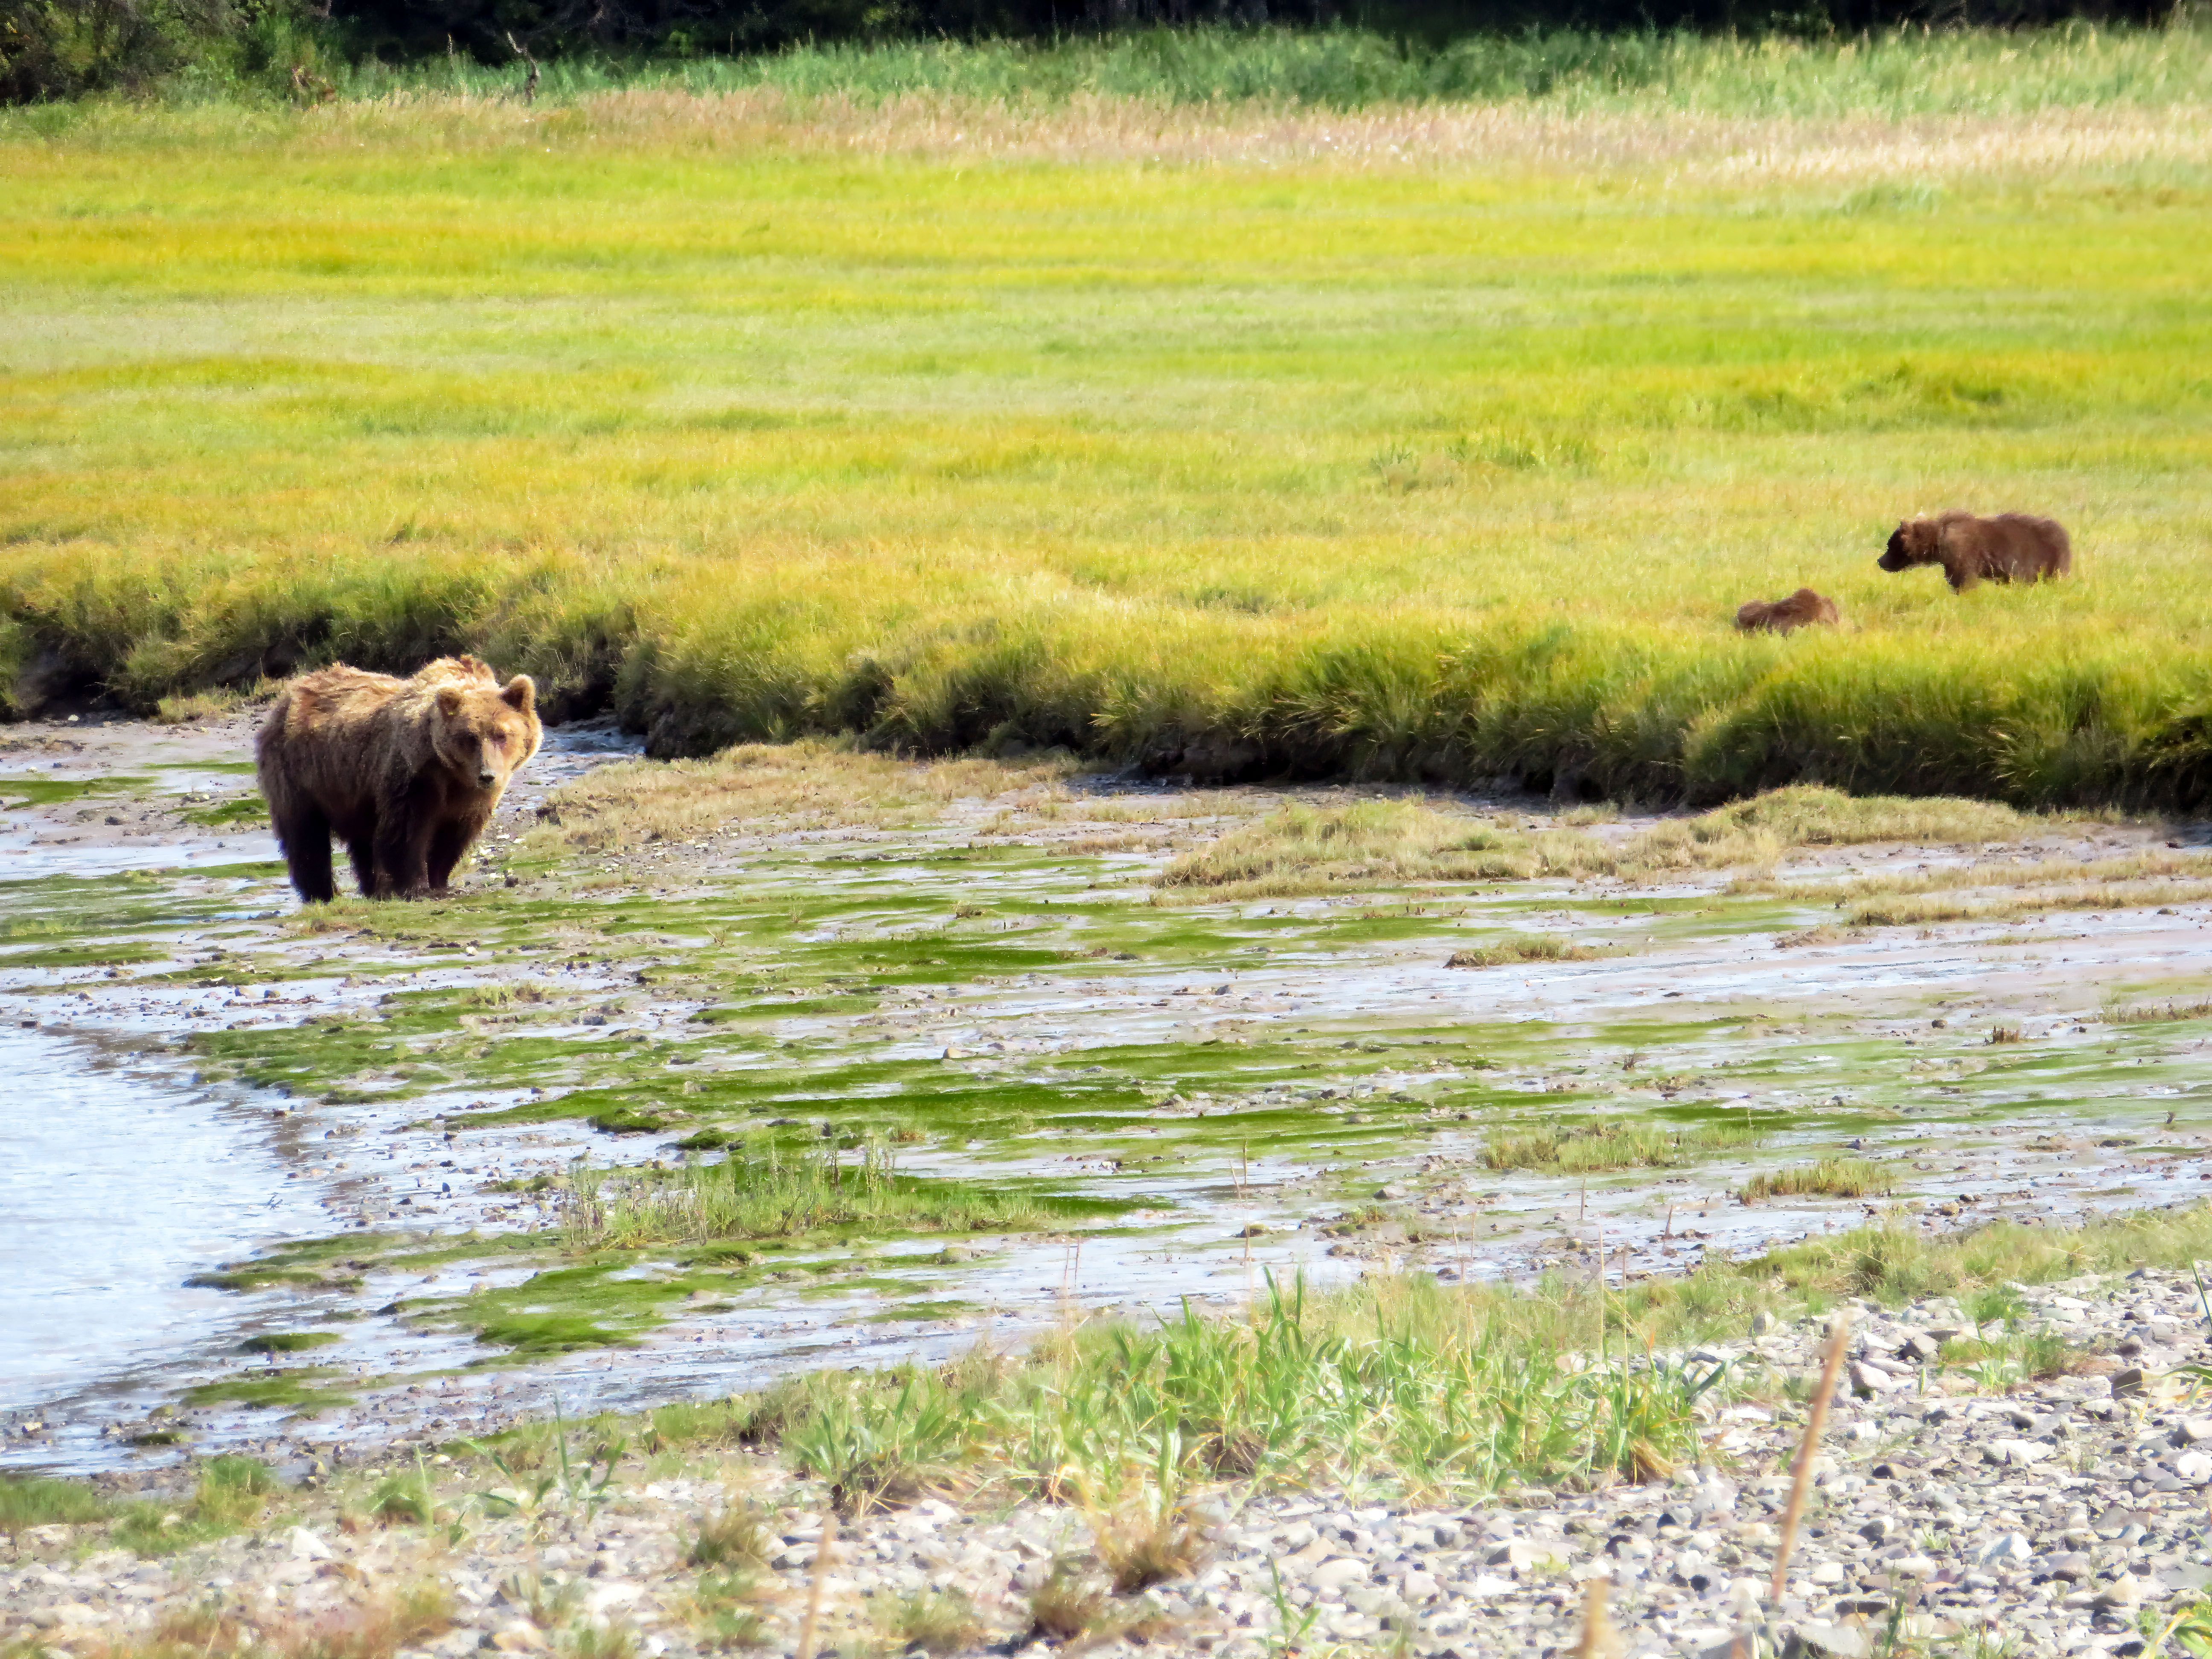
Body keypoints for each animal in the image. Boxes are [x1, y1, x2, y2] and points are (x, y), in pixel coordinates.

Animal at [256, 655, 541, 903]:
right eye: (470, 737)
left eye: (502, 734)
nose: (488, 775)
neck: (453, 774)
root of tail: (290, 693)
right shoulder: (415, 776)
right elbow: (406, 833)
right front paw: (416, 887)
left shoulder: (471, 799)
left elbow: (453, 836)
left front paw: (440, 881)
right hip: (301, 773)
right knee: (306, 834)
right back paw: (323, 893)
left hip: (354, 790)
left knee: (361, 840)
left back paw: (371, 888)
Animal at [1879, 512, 2071, 591]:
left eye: (1891, 546)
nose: (1880, 561)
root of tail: (2065, 534)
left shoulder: (1964, 554)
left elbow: (1964, 579)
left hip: (2050, 559)